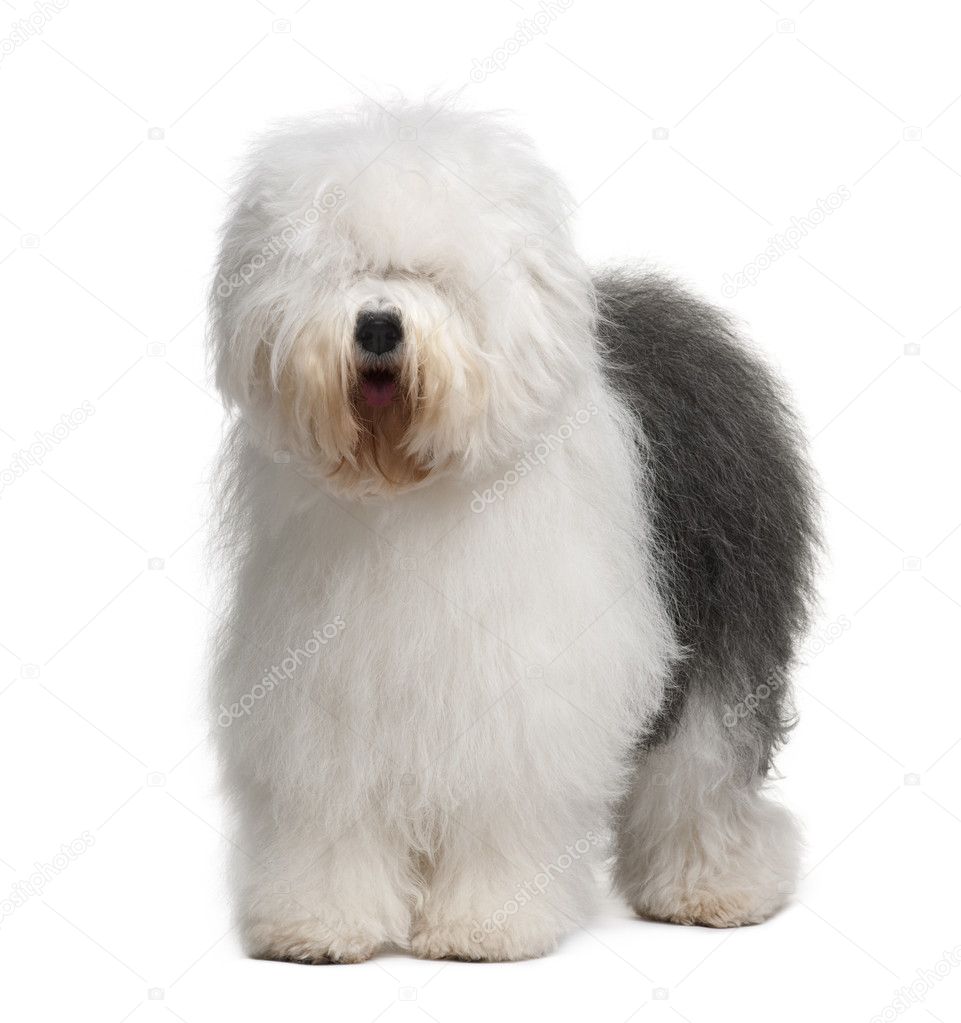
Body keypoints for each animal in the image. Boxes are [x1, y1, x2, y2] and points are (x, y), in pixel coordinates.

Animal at [206, 99, 814, 961]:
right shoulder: (321, 685)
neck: (410, 494)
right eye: (342, 270)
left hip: (723, 628)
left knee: (703, 770)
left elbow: (499, 801)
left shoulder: (520, 685)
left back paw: (713, 886)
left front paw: (484, 923)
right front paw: (319, 921)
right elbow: (332, 800)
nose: (379, 327)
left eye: (434, 278)